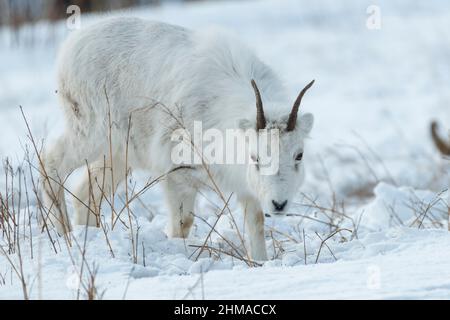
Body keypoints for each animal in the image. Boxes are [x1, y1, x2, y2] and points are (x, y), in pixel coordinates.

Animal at [43, 17, 316, 262]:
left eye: (299, 155)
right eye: (255, 157)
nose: (279, 204)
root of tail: (69, 48)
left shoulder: (245, 188)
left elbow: (256, 224)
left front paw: (261, 262)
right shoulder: (177, 174)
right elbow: (182, 225)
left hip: (119, 155)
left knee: (86, 191)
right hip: (90, 134)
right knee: (51, 162)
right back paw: (65, 234)